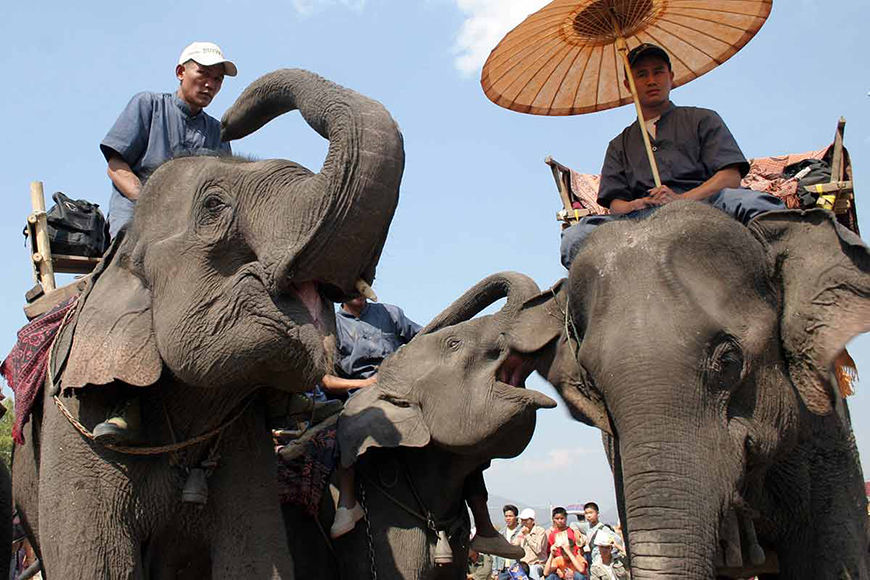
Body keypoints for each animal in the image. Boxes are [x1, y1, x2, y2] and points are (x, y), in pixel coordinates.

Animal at [11, 69, 406, 580]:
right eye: (215, 206)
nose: (232, 120)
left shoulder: (244, 440)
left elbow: (257, 560)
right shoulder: (73, 423)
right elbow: (96, 566)